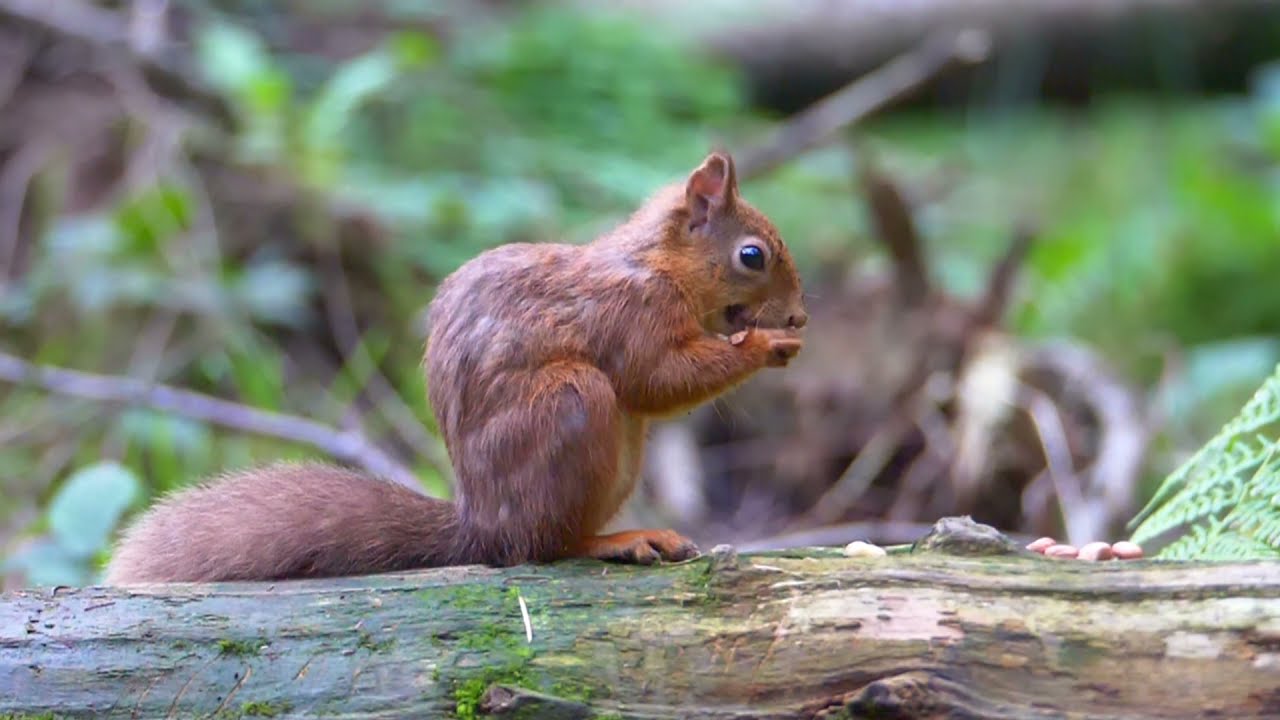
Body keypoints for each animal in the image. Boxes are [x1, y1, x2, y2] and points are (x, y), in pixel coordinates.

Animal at [104, 151, 808, 584]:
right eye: (751, 255)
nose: (799, 317)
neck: (657, 265)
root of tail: (480, 525)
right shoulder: (631, 316)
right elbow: (656, 378)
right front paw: (765, 344)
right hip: (572, 405)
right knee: (538, 549)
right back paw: (617, 541)